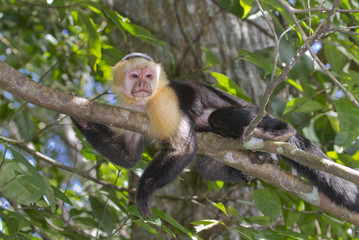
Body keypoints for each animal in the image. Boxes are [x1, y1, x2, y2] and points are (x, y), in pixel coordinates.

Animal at [73, 53, 359, 218]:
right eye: (135, 76)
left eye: (148, 75)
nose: (143, 84)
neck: (146, 102)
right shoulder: (129, 111)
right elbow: (129, 156)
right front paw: (79, 116)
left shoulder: (165, 102)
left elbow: (184, 148)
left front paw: (144, 190)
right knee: (207, 167)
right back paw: (257, 163)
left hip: (253, 112)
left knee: (218, 119)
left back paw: (281, 132)